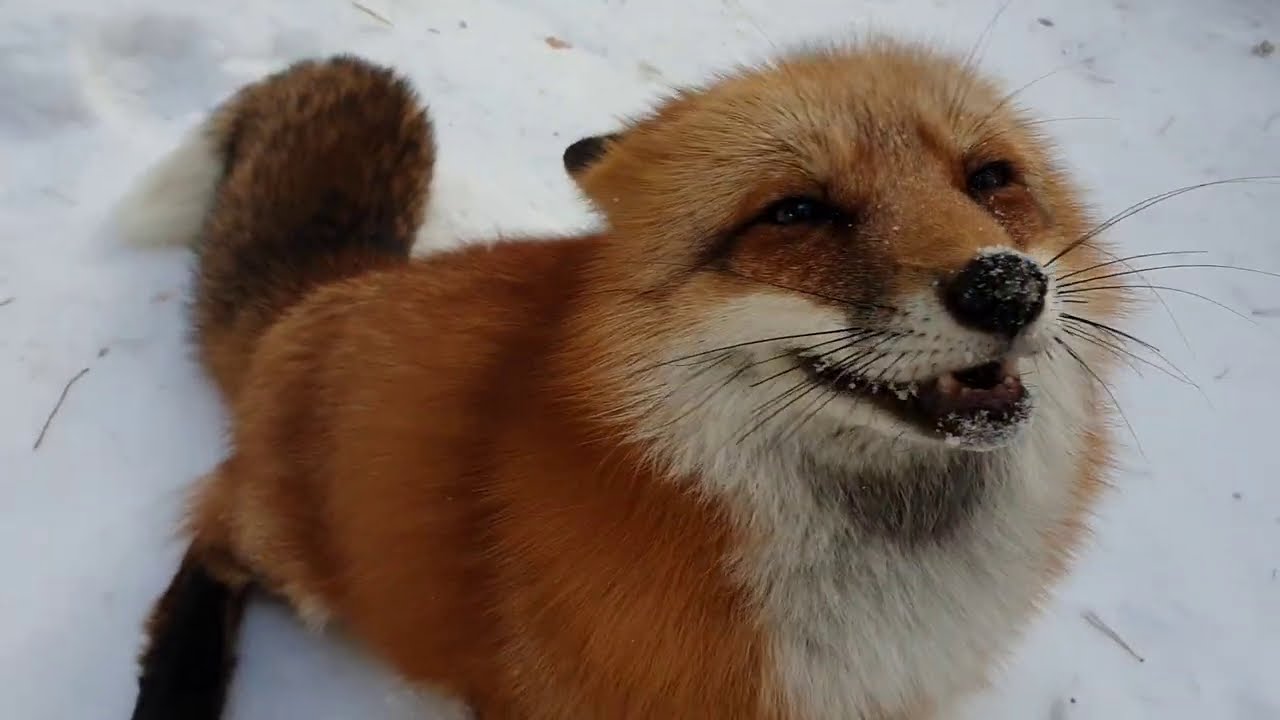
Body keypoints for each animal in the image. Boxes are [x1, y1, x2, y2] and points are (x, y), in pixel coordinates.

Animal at [118, 42, 1128, 720]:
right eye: (796, 212)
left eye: (991, 178)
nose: (1006, 286)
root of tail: (336, 287)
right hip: (308, 552)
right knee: (210, 535)